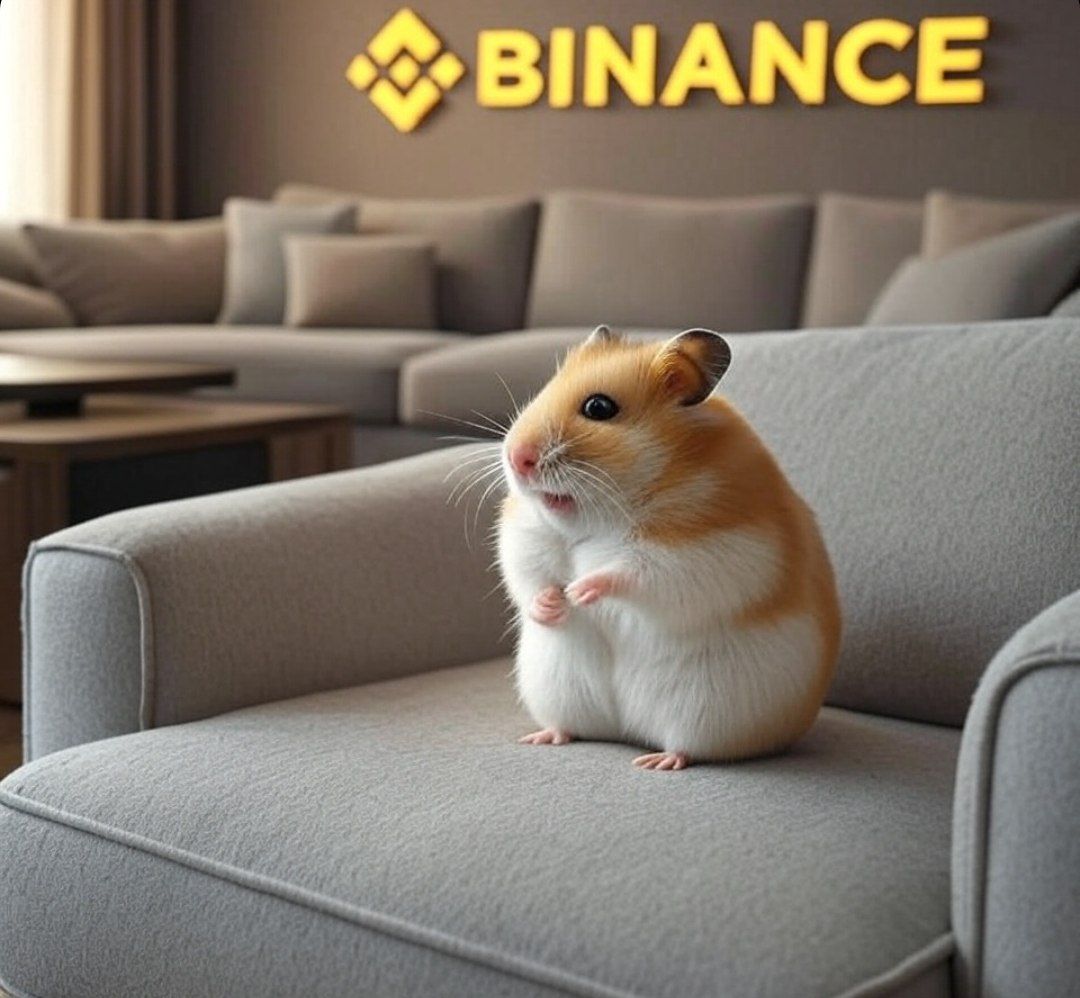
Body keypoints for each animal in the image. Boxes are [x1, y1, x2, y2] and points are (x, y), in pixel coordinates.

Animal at [497, 325, 841, 771]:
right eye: (543, 390)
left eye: (599, 407)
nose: (515, 457)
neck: (600, 516)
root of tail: (625, 731)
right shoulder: (524, 535)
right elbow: (528, 575)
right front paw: (555, 603)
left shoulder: (706, 552)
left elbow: (634, 572)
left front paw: (580, 590)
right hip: (556, 689)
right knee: (568, 726)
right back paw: (543, 737)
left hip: (705, 709)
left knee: (688, 746)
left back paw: (657, 762)